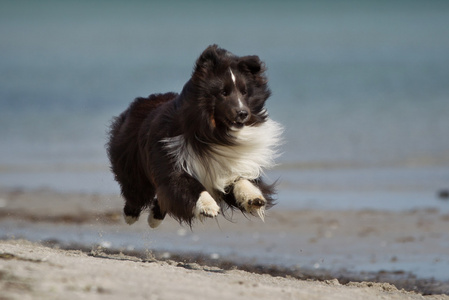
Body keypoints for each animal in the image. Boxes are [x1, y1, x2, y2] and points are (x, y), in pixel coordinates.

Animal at [107, 44, 282, 227]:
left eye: (245, 92)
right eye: (223, 92)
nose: (243, 113)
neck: (213, 135)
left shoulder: (229, 165)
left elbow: (241, 179)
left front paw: (254, 198)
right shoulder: (172, 161)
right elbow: (187, 185)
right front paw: (208, 206)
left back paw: (154, 218)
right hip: (132, 164)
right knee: (135, 192)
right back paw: (131, 216)